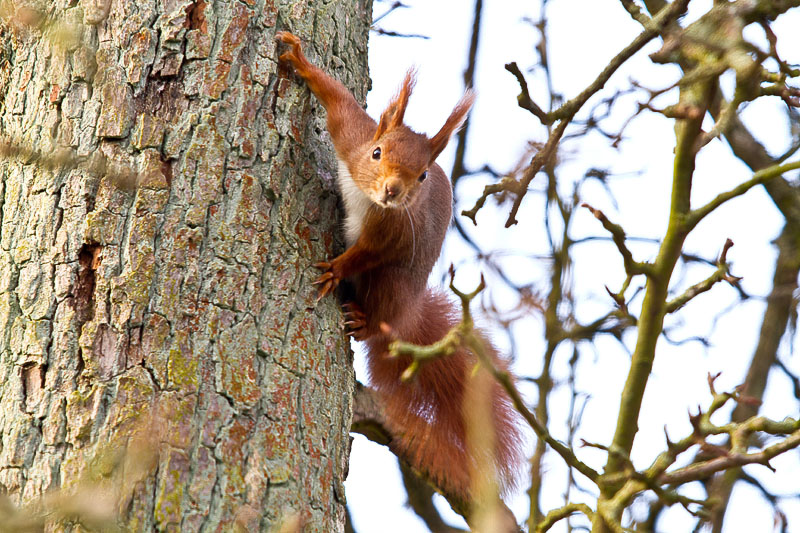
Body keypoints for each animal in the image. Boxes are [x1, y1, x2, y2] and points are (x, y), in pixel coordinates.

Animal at [276, 31, 524, 500]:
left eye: (423, 175)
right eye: (377, 152)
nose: (393, 190)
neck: (370, 200)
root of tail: (407, 314)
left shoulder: (391, 236)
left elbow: (366, 253)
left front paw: (336, 269)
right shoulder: (350, 138)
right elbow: (338, 101)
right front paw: (299, 59)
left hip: (393, 286)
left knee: (379, 318)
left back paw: (363, 319)